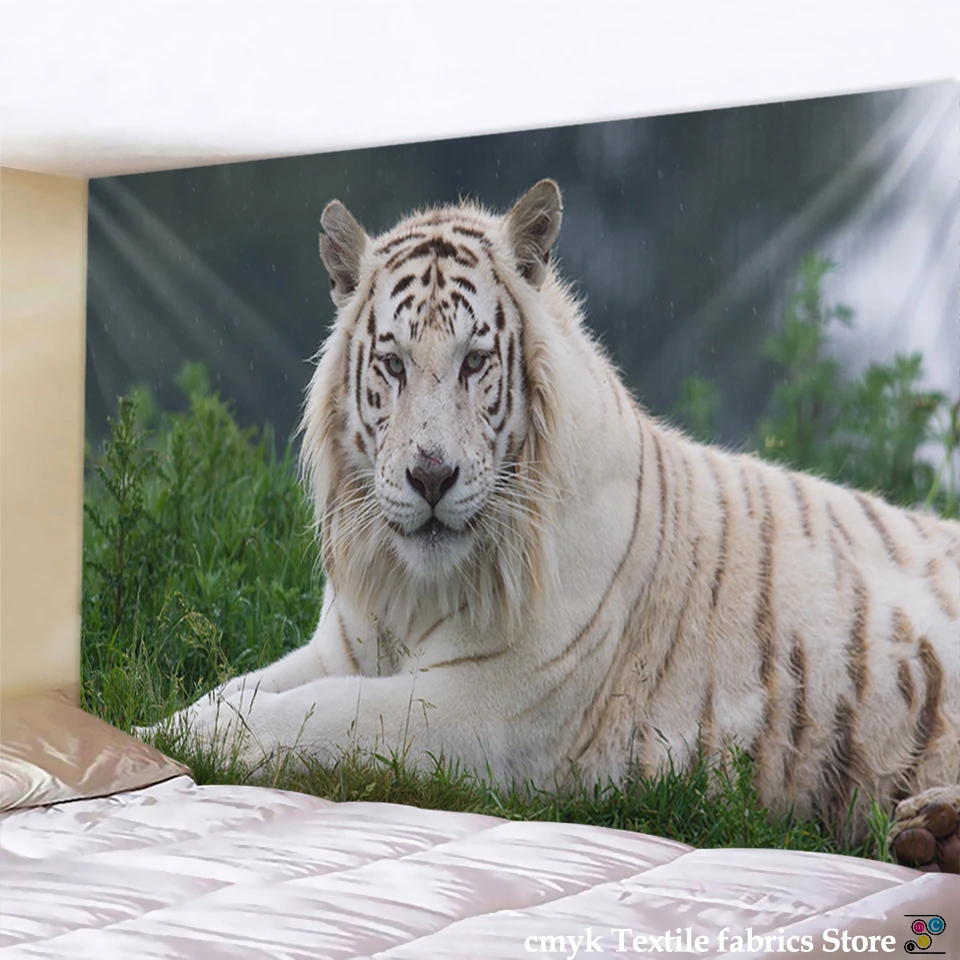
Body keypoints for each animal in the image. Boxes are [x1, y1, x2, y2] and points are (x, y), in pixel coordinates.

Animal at [141, 180, 960, 871]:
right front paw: (153, 735)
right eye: (394, 364)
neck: (413, 589)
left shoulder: (484, 705)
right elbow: (233, 691)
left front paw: (183, 746)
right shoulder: (337, 649)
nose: (431, 478)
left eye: (474, 361)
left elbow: (312, 720)